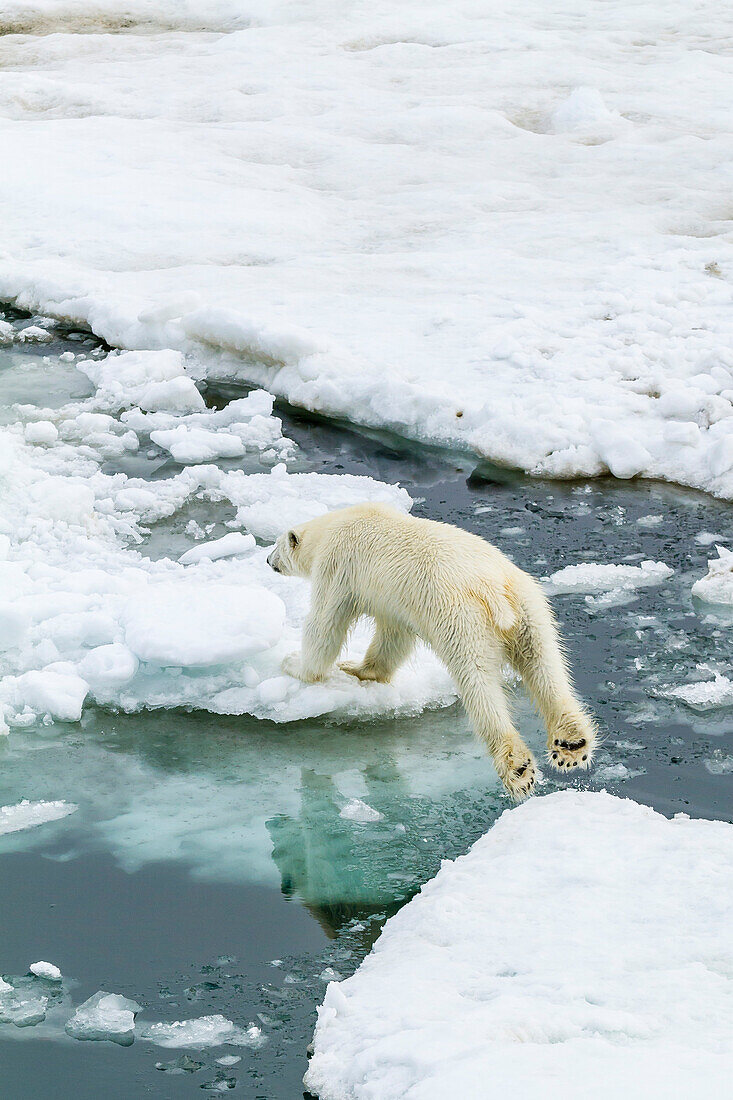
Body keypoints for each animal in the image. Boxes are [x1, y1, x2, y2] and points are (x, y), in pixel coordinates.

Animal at [268, 503, 594, 796]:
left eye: (276, 544)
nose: (268, 559)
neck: (334, 524)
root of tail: (495, 590)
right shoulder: (394, 602)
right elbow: (393, 637)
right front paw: (359, 669)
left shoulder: (338, 565)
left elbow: (324, 625)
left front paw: (295, 663)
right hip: (530, 608)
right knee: (545, 665)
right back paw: (572, 744)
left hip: (460, 617)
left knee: (478, 681)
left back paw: (517, 767)